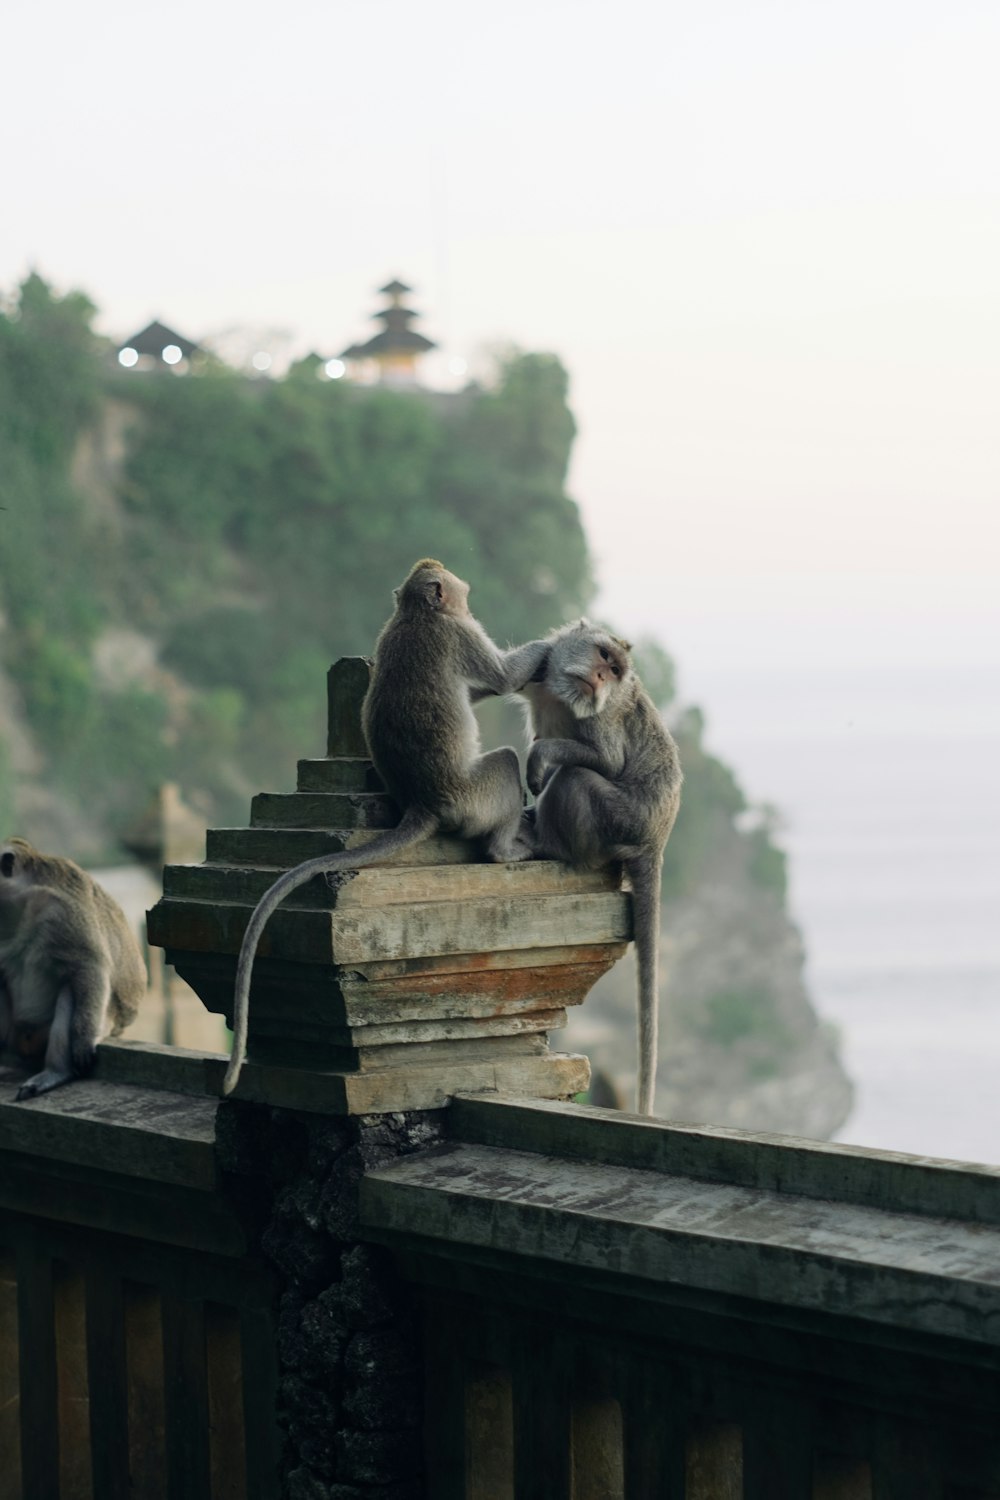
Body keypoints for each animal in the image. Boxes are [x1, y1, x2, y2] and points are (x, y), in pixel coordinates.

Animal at [0, 840, 145, 1098]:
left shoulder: (62, 913)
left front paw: (82, 1041)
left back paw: (56, 1071)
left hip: (100, 1021)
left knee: (71, 991)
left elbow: (90, 967)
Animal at [223, 558, 551, 1098]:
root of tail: (423, 804)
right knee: (503, 763)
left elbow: (485, 689)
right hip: (474, 797)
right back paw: (506, 850)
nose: (465, 594)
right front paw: (551, 646)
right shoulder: (458, 634)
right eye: (456, 590)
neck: (415, 616)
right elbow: (501, 679)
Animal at [521, 621, 683, 1116]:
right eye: (604, 656)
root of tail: (656, 840)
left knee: (575, 777)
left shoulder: (601, 718)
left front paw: (541, 758)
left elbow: (605, 760)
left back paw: (544, 843)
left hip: (621, 822)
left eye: (614, 671)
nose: (598, 677)